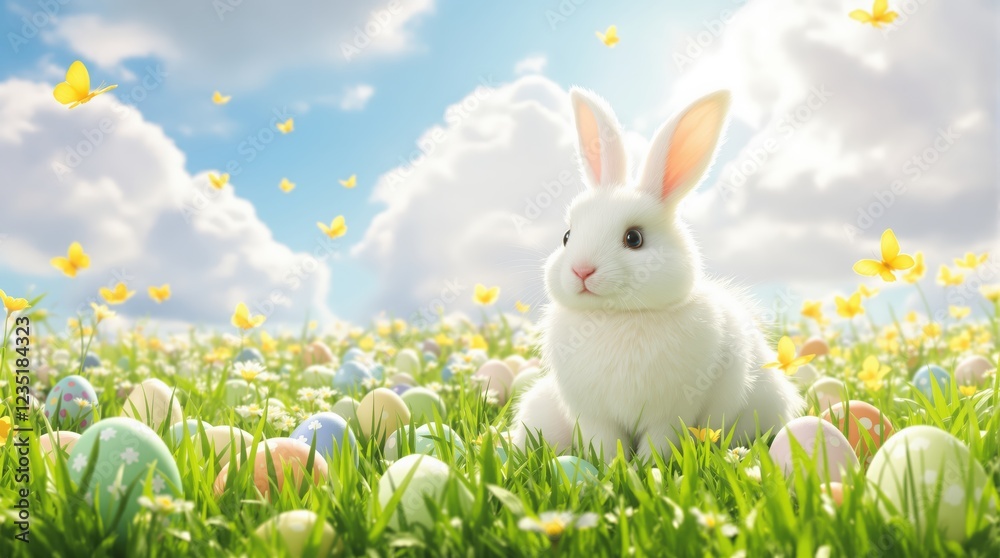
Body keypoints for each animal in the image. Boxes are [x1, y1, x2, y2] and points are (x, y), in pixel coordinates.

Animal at [510, 88, 804, 463]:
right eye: (566, 236)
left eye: (634, 238)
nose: (582, 270)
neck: (617, 317)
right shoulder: (593, 416)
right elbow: (604, 442)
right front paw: (610, 466)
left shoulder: (670, 414)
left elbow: (659, 442)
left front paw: (649, 467)